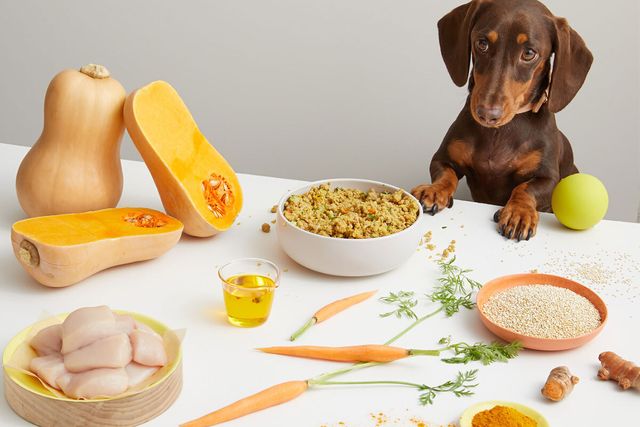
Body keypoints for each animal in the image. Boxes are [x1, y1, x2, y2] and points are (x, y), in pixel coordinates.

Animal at [412, 0, 592, 241]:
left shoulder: (548, 179)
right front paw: (434, 190)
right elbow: (446, 174)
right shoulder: (443, 158)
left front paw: (519, 213)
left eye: (529, 53)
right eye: (482, 43)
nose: (488, 114)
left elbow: (525, 188)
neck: (500, 131)